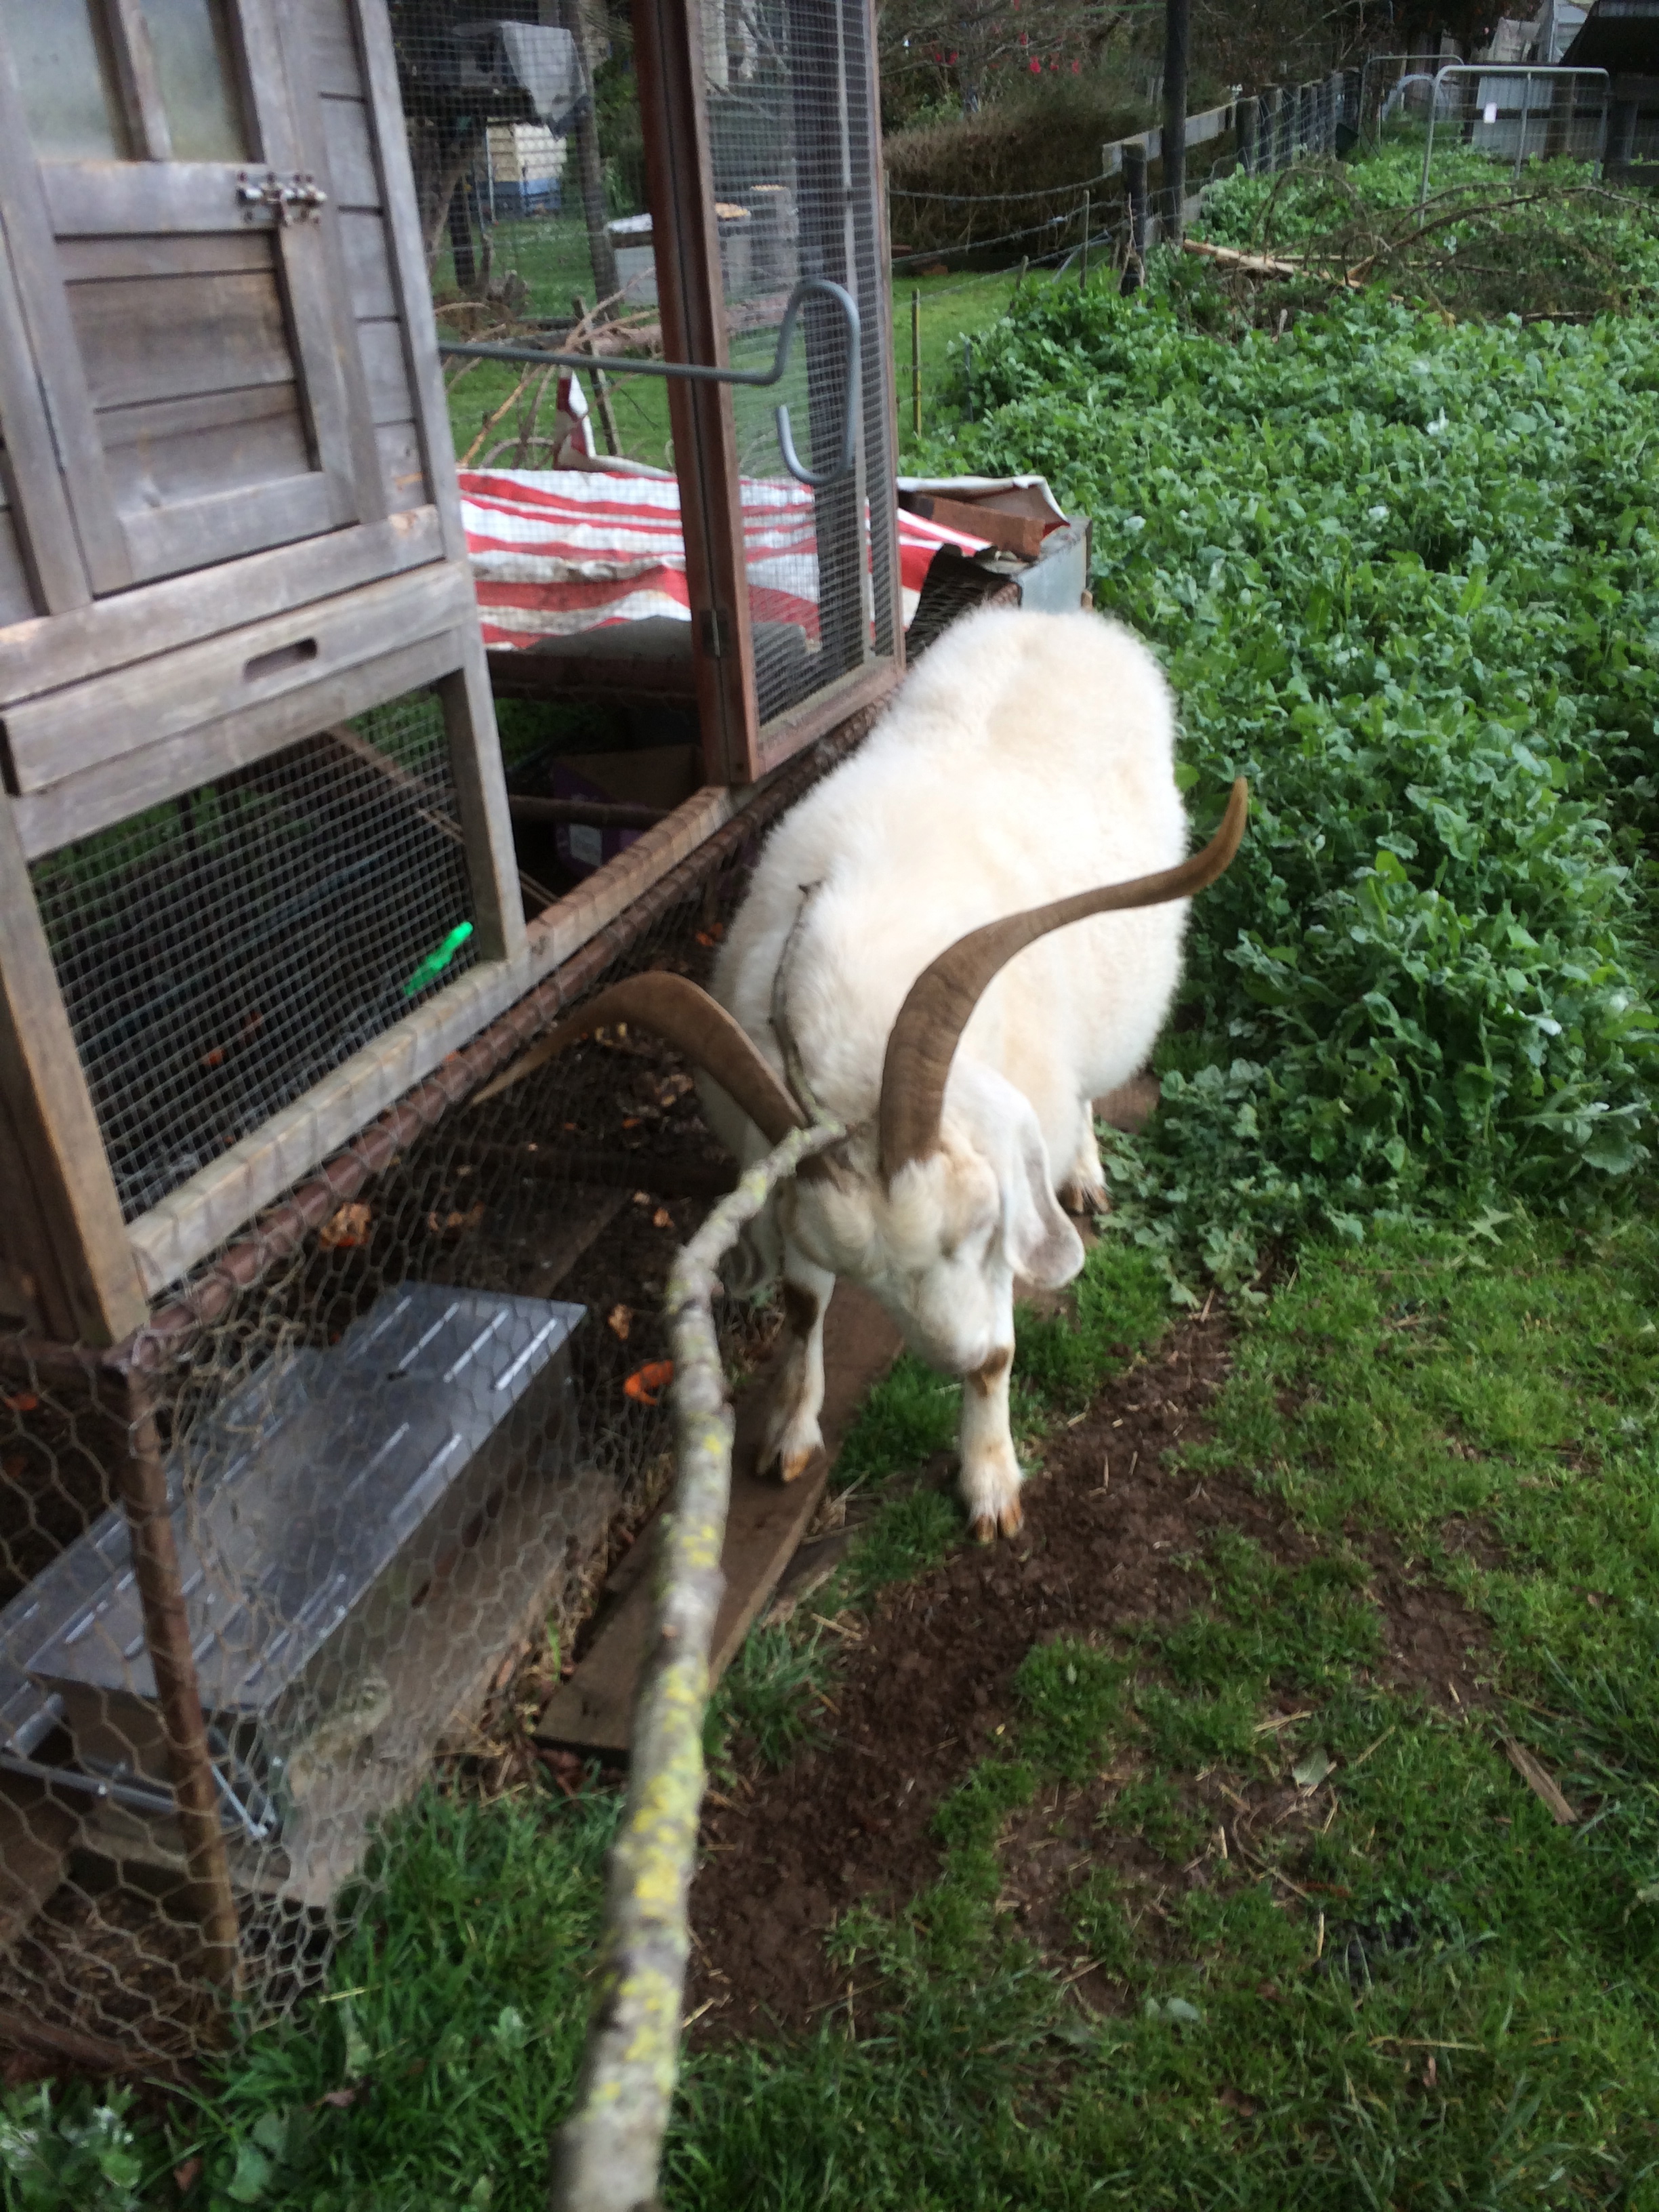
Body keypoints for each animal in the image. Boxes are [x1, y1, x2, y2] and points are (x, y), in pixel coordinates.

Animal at [479, 604, 1246, 1541]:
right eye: (866, 1272)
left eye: (982, 1224)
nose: (958, 1350)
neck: (857, 1024)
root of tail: (1052, 620)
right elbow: (804, 1305)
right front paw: (788, 1433)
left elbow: (1004, 1347)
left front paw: (990, 1482)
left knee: (1093, 1091)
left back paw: (1087, 1174)